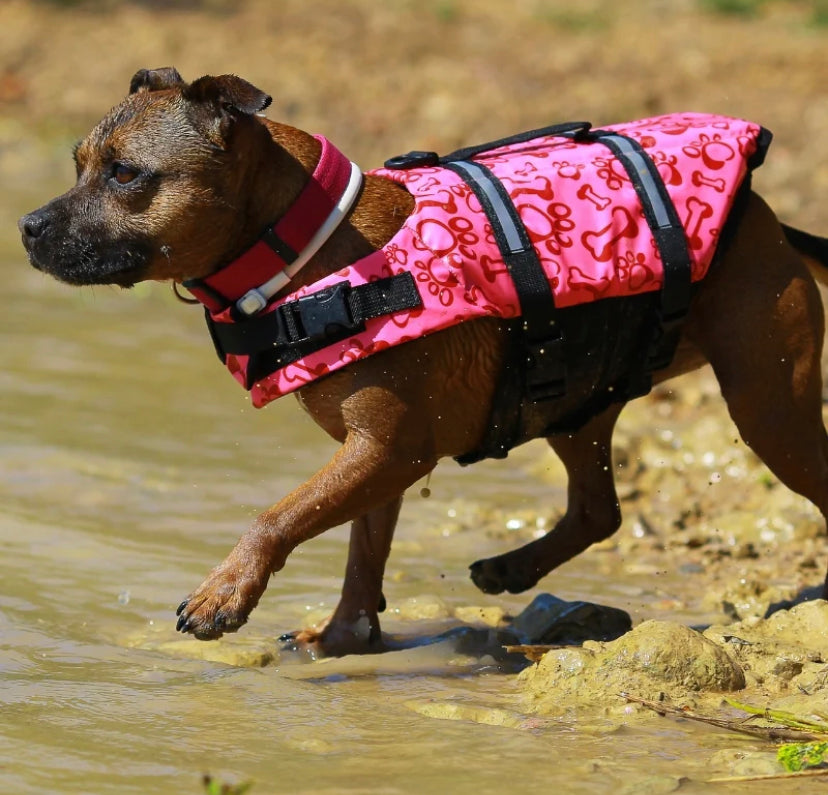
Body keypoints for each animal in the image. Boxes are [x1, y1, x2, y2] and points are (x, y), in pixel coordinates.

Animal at [16, 68, 828, 656]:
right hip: (576, 401)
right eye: (79, 164)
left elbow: (277, 517)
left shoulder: (386, 449)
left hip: (768, 404)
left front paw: (226, 592)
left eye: (126, 174)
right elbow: (360, 554)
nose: (27, 225)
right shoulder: (381, 456)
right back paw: (513, 566)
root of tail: (766, 219)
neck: (307, 253)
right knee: (599, 507)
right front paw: (342, 636)